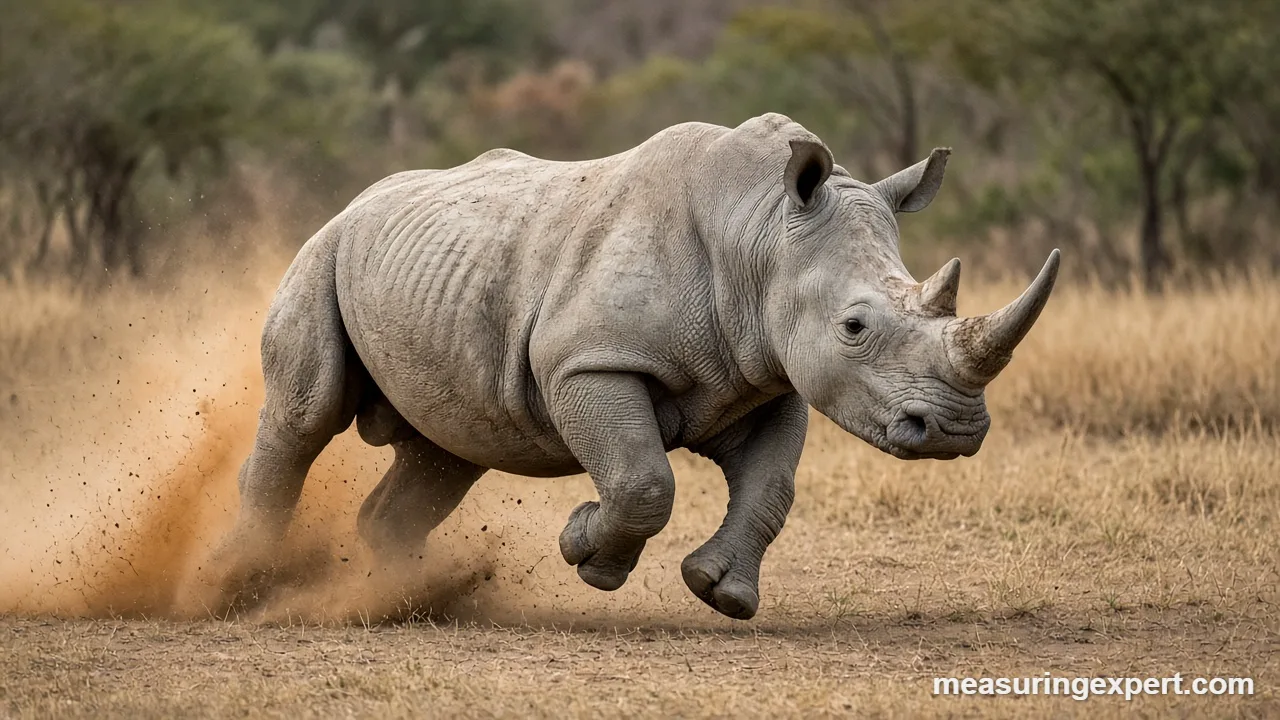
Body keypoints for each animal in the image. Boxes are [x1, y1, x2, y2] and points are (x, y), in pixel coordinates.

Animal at [216, 113, 1059, 619]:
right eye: (854, 327)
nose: (954, 432)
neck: (760, 235)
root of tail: (356, 202)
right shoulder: (588, 363)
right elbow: (644, 480)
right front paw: (587, 555)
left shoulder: (767, 376)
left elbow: (771, 488)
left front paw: (722, 592)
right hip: (323, 251)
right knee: (306, 415)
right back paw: (245, 581)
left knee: (446, 452)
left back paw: (402, 599)